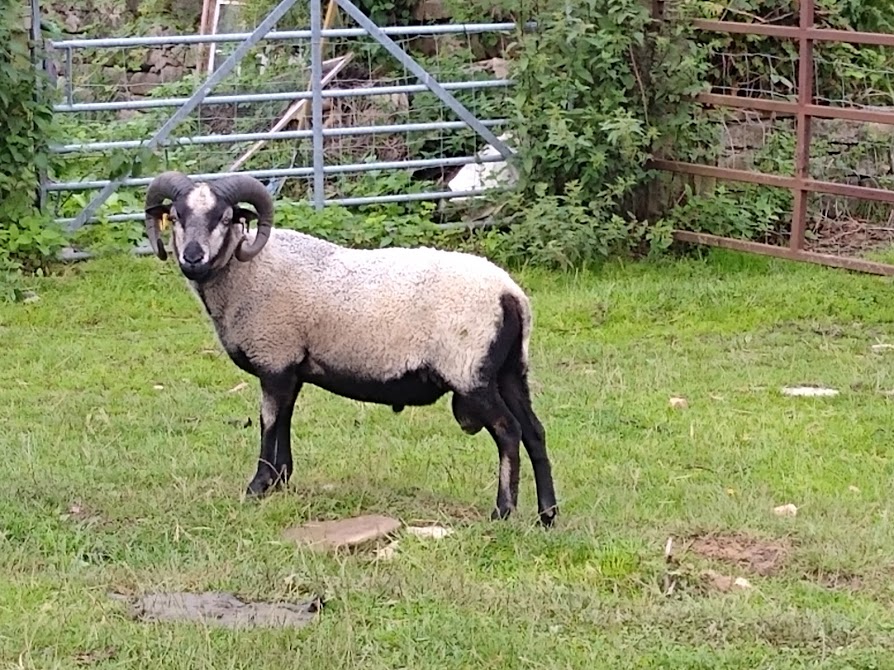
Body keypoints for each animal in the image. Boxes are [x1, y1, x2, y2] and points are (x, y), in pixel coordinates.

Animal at [143, 171, 558, 526]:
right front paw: (281, 479)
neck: (247, 271)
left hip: (471, 372)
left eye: (226, 218)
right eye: (176, 216)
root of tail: (511, 295)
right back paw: (547, 515)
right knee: (535, 431)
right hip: (510, 370)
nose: (192, 257)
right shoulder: (292, 366)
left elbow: (268, 422)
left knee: (508, 431)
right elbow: (285, 420)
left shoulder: (275, 358)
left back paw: (503, 511)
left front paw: (258, 486)